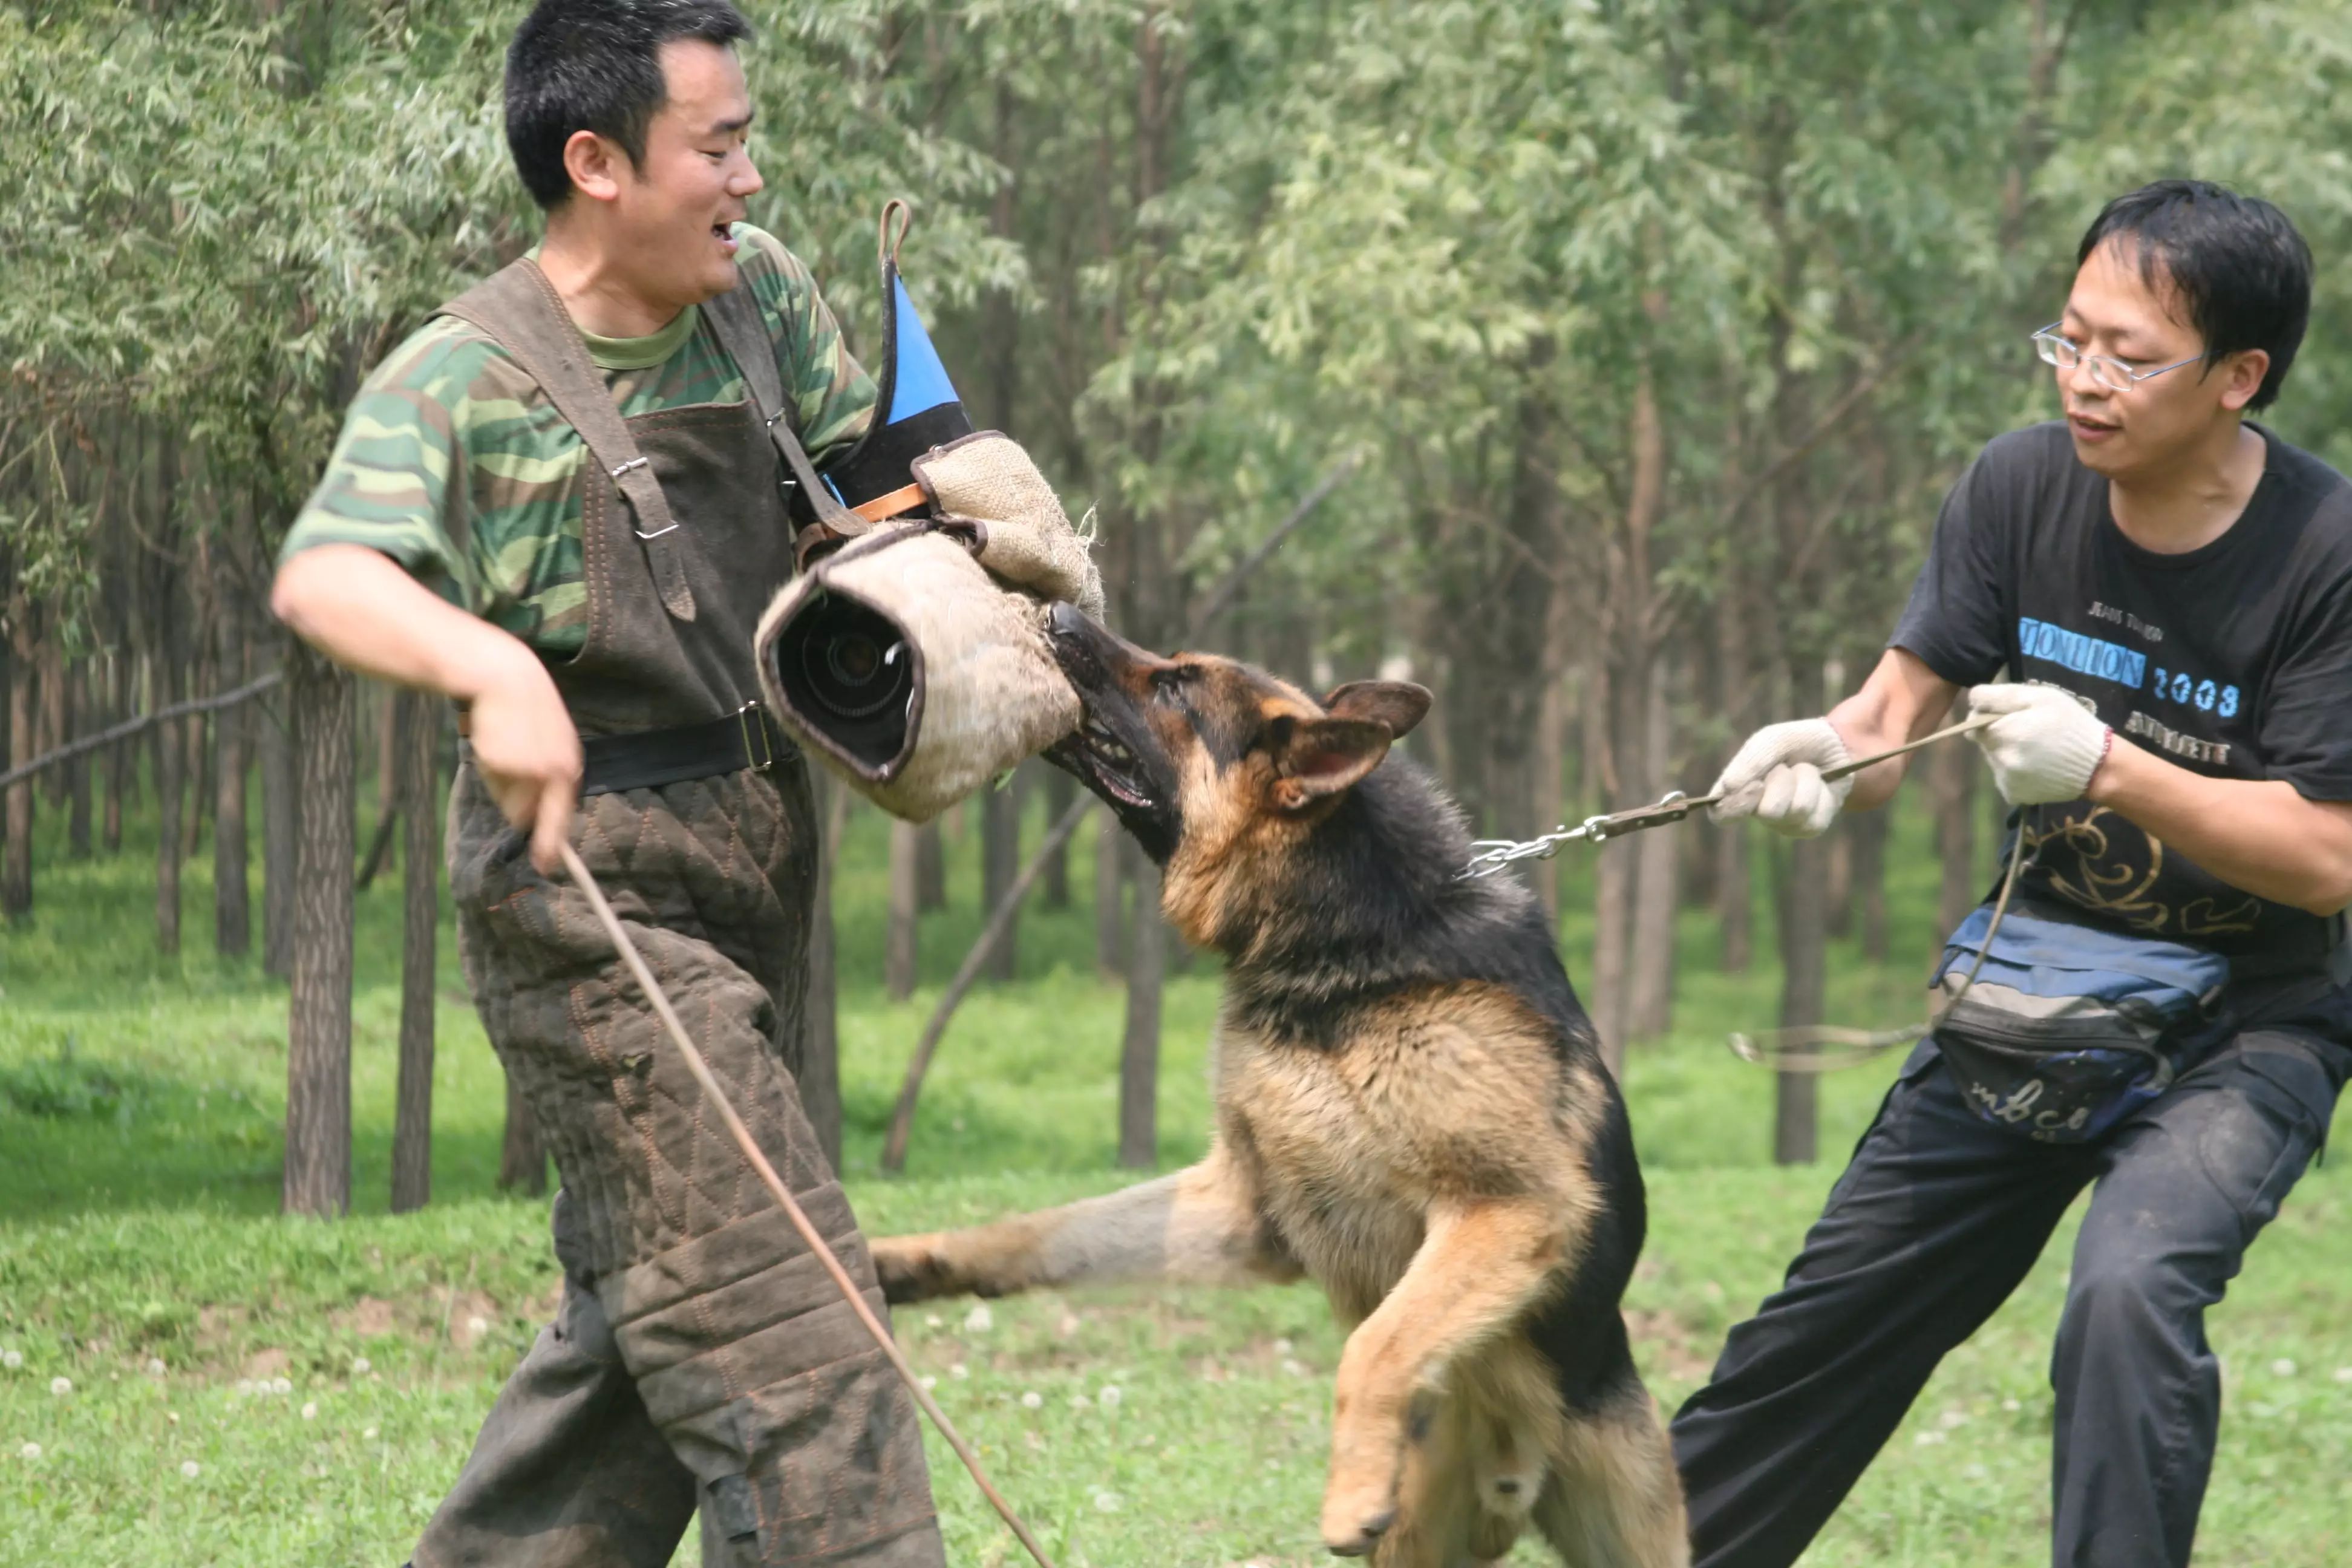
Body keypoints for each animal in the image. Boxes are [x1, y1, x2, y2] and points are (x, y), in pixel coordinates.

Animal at [875, 606, 1684, 1568]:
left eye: (1175, 686)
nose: (1058, 615)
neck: (1343, 946)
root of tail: (1515, 1479)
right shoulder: (1248, 1212)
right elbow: (1038, 1232)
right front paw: (909, 1261)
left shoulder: (1512, 1208)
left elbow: (1376, 1342)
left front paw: (1348, 1493)